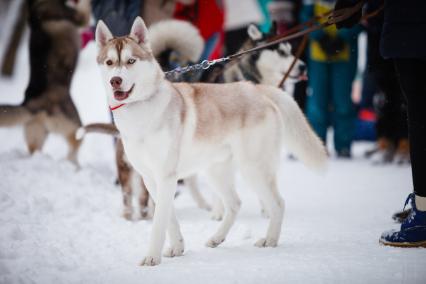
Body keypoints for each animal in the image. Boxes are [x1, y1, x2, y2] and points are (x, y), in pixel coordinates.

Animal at [0, 0, 90, 164]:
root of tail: (31, 104)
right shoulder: (79, 17)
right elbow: (85, 9)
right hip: (75, 125)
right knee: (73, 148)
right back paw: (74, 165)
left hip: (37, 133)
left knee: (35, 151)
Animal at [94, 17, 326, 266]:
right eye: (109, 62)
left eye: (130, 61)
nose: (115, 80)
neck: (141, 109)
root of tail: (258, 89)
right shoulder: (151, 179)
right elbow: (169, 219)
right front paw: (177, 247)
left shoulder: (166, 177)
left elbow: (159, 223)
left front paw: (152, 257)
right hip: (216, 171)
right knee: (234, 204)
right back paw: (217, 238)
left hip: (253, 168)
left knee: (278, 204)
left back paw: (270, 240)